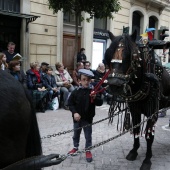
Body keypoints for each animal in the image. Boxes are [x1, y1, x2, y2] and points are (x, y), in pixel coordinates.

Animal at [104, 31, 170, 170]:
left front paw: (147, 160)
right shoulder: (134, 110)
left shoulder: (152, 113)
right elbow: (135, 130)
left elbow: (149, 136)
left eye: (131, 55)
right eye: (108, 54)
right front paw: (134, 151)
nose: (114, 84)